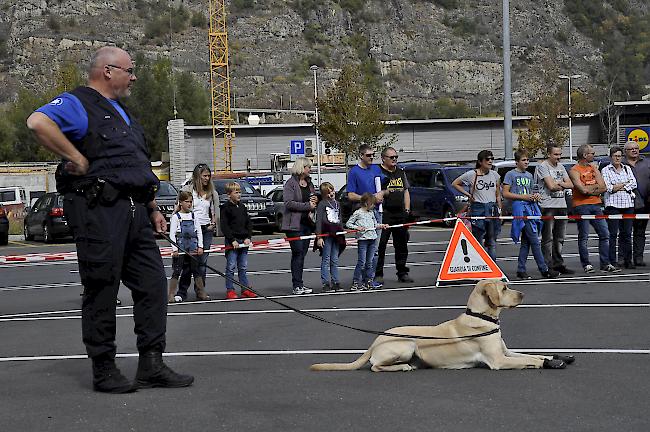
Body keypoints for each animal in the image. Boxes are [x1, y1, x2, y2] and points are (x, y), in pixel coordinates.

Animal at [312, 280, 568, 372]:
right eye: (504, 288)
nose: (523, 294)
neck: (481, 317)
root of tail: (376, 340)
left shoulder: (506, 351)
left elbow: (532, 354)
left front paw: (554, 357)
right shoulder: (498, 360)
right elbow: (529, 360)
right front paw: (546, 363)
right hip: (406, 345)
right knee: (376, 366)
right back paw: (403, 367)